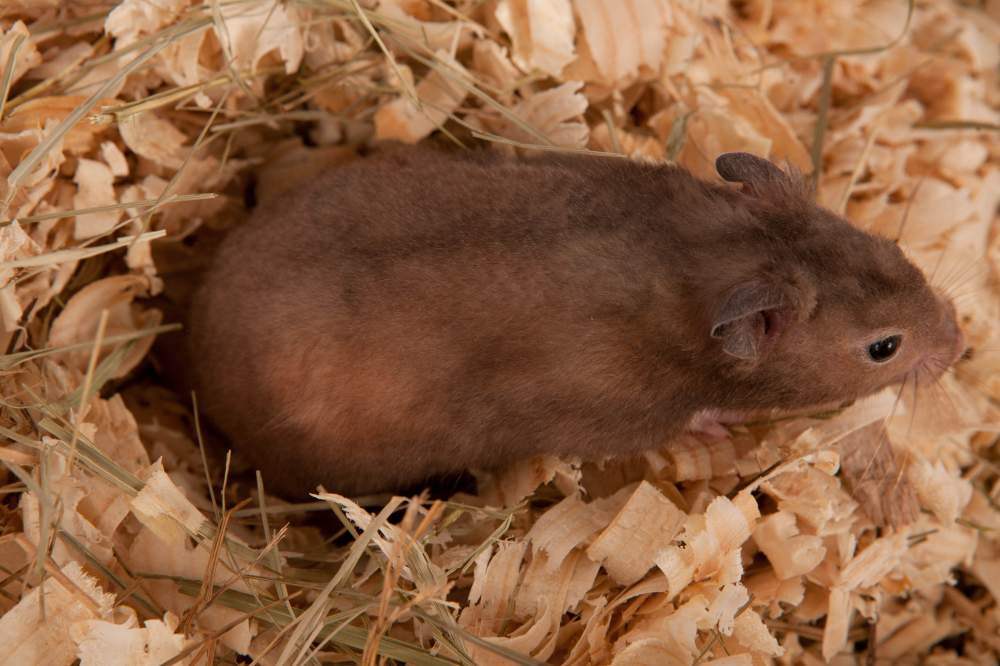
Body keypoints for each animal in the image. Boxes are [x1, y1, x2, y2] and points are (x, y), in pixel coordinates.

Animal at [186, 147, 960, 498]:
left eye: (894, 249)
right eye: (884, 348)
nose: (959, 345)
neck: (704, 263)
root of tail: (192, 356)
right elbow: (693, 419)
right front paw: (721, 427)